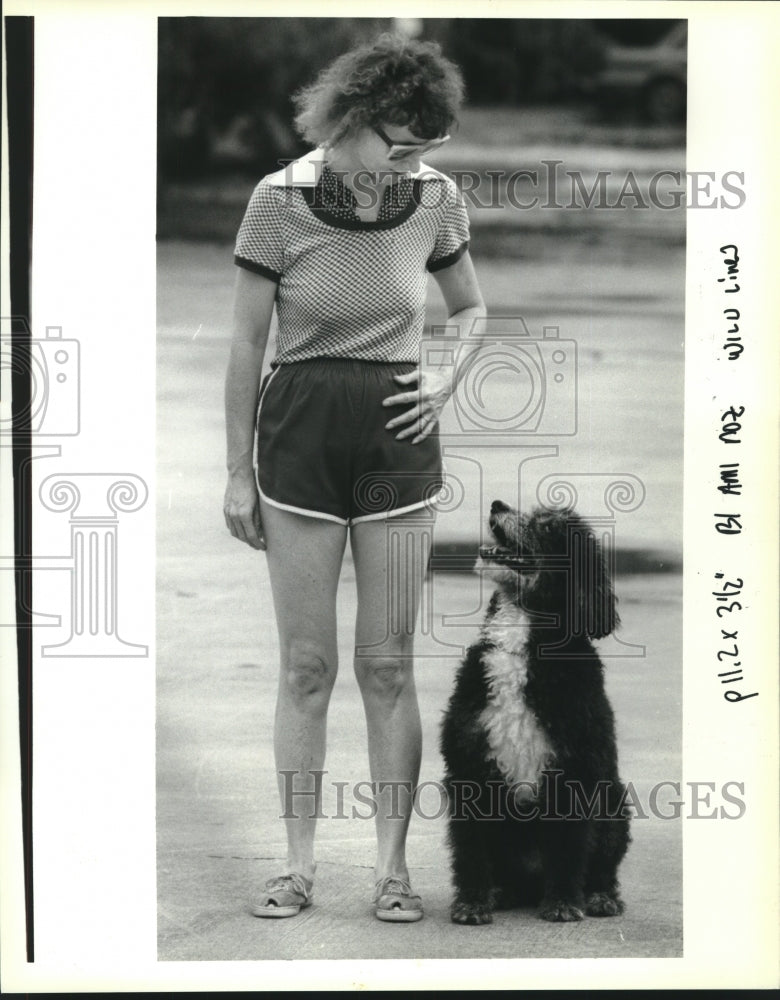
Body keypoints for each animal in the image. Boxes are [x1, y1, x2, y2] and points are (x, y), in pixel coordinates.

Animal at [442, 504, 632, 924]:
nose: (497, 505)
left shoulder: (574, 775)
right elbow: (470, 850)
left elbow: (568, 850)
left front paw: (562, 902)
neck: (523, 647)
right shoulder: (469, 769)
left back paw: (599, 897)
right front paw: (473, 902)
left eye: (548, 526)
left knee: (603, 867)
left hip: (613, 806)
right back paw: (502, 892)